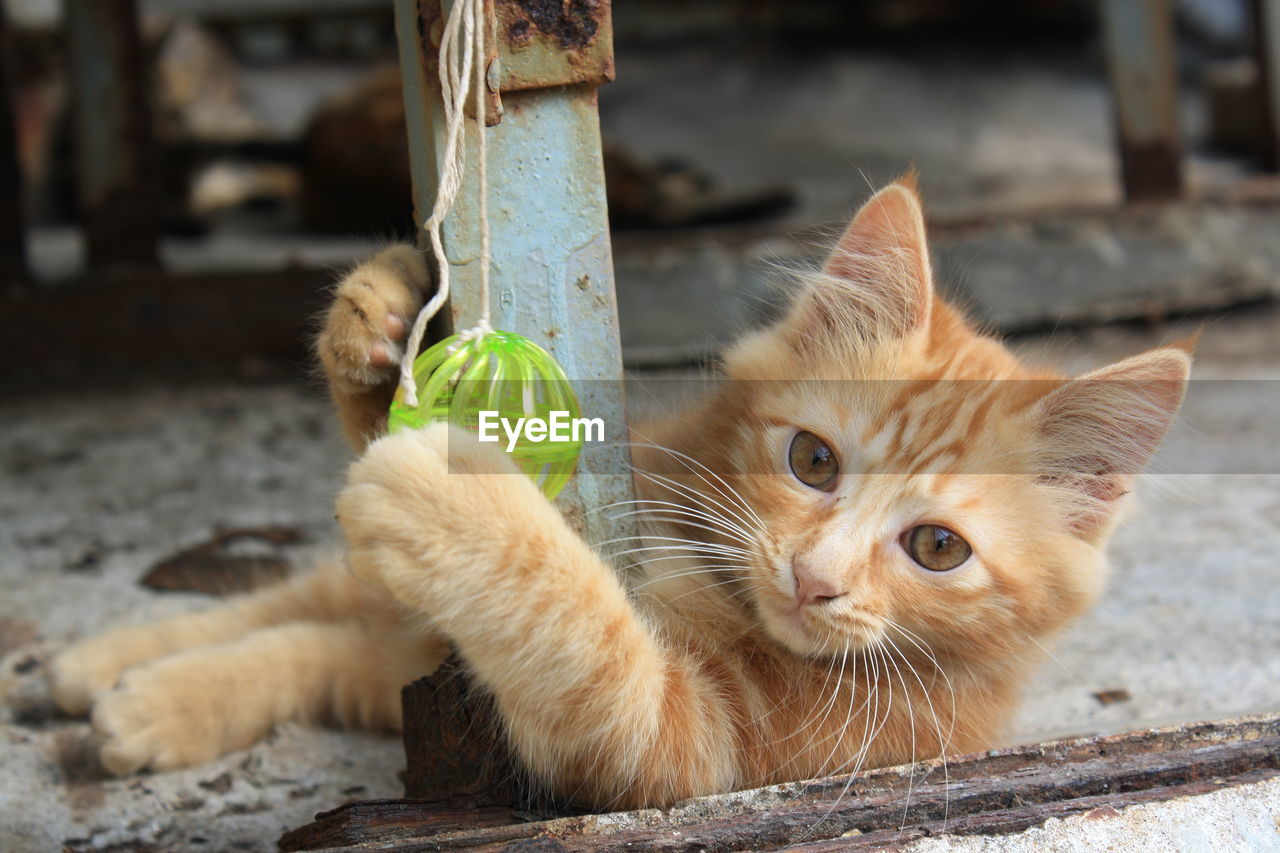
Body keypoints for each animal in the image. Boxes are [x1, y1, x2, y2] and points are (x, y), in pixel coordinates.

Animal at [49, 178, 1187, 804]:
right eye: (813, 461)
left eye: (937, 549)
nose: (814, 579)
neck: (722, 593)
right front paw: (378, 317)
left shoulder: (683, 753)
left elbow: (577, 628)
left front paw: (456, 504)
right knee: (300, 604)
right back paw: (98, 665)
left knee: (316, 641)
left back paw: (140, 702)